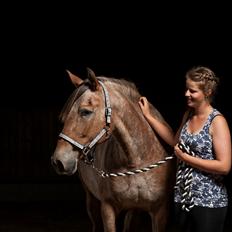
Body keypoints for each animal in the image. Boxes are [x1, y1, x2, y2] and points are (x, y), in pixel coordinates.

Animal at [50, 68, 174, 231]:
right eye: (64, 117)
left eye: (85, 112)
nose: (58, 161)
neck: (136, 161)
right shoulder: (107, 209)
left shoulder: (160, 212)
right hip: (91, 199)